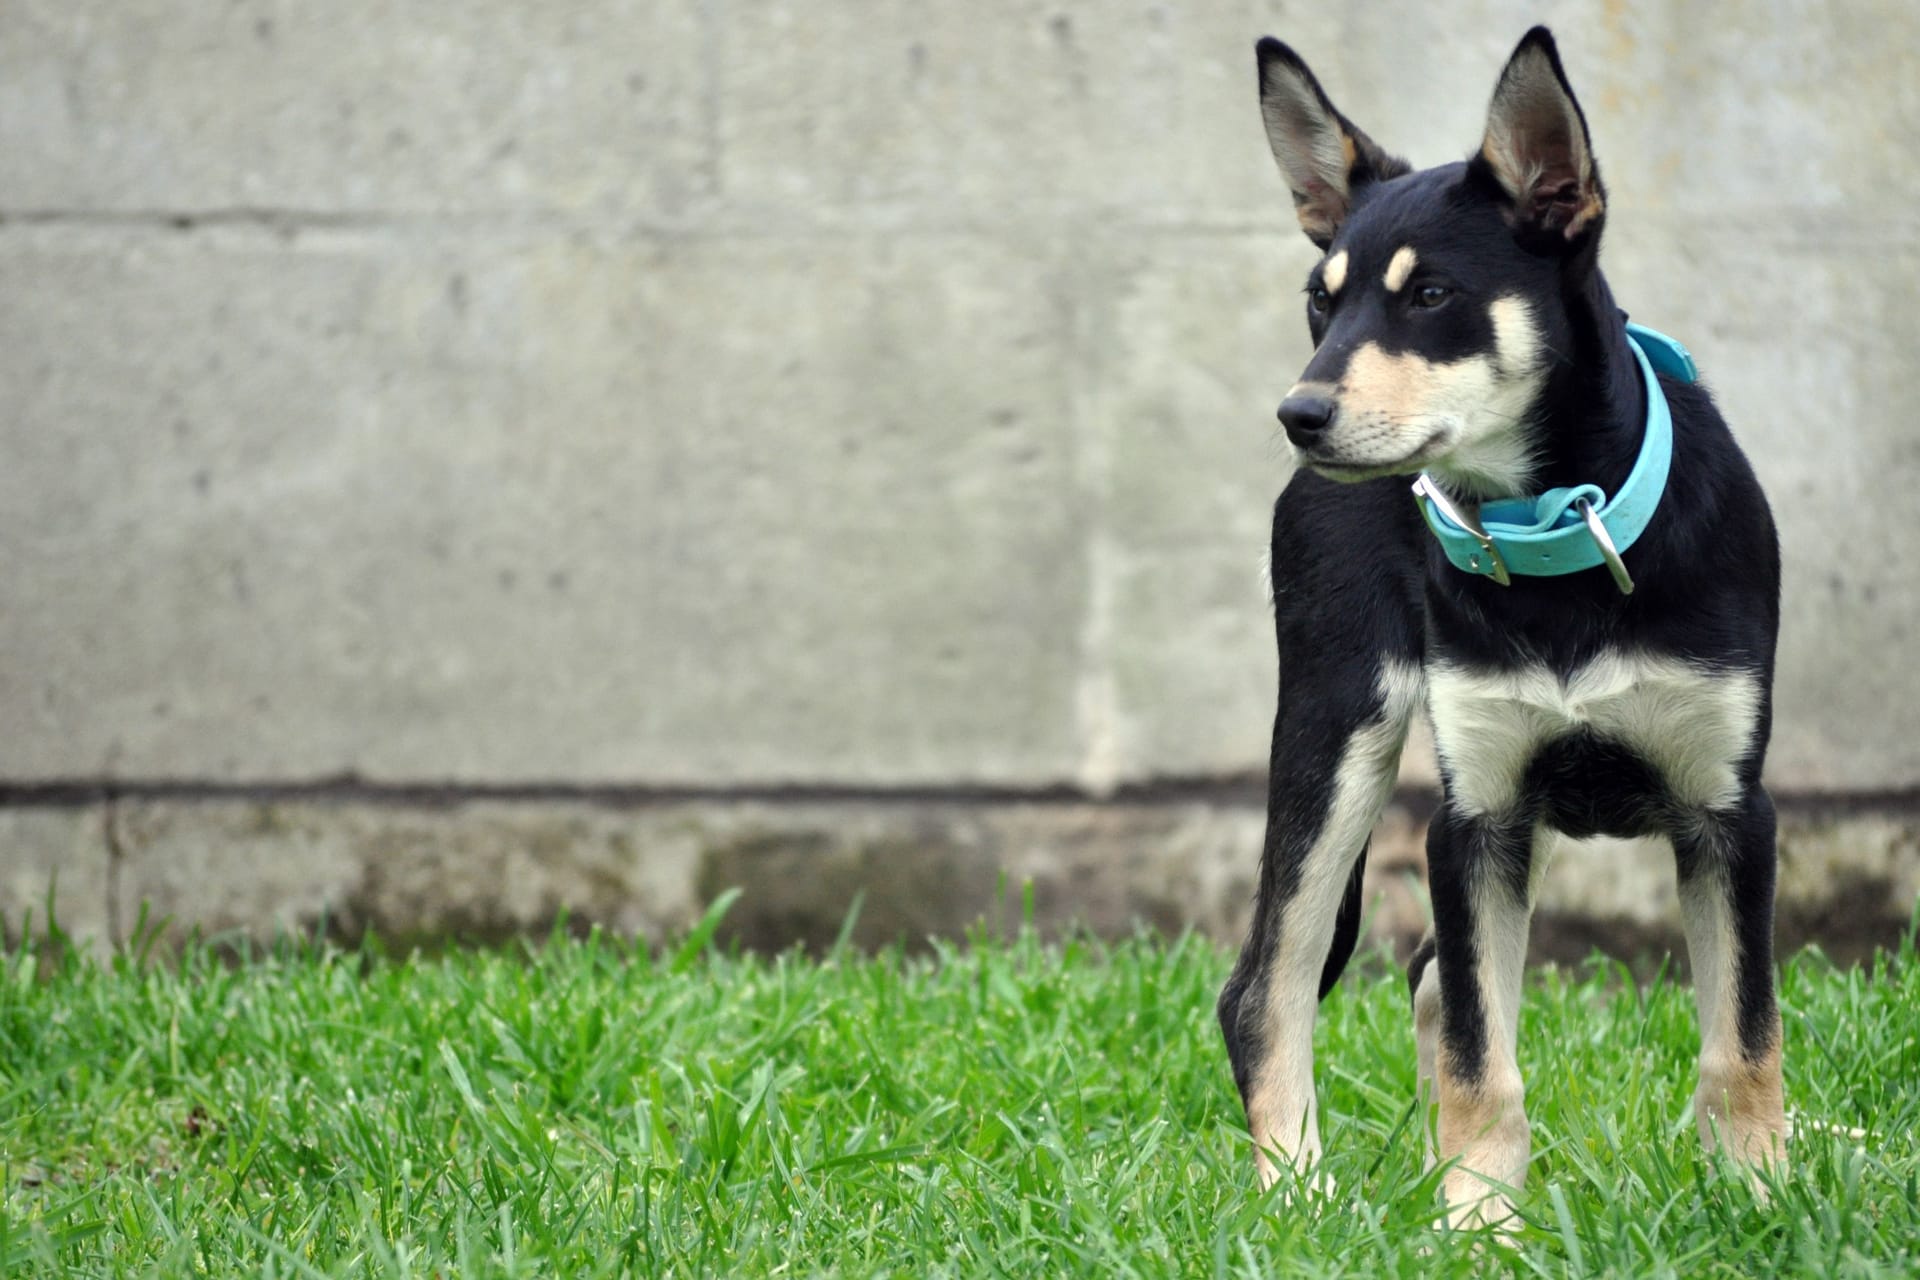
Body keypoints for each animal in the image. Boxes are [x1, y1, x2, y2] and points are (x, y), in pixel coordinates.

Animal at [1213, 22, 1781, 1220]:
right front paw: (1481, 1228)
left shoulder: (1727, 810)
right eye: (1321, 302)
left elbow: (1742, 1042)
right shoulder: (1473, 818)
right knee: (1268, 989)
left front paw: (1767, 1201)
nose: (1299, 412)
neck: (1560, 530)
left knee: (1429, 978)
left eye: (1431, 293)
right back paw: (1299, 1198)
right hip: (1339, 723)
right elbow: (1485, 1062)